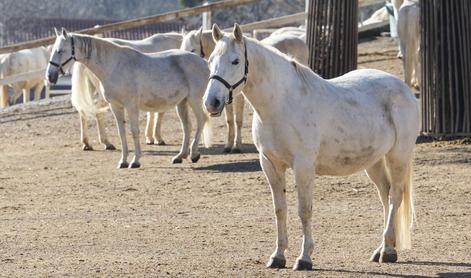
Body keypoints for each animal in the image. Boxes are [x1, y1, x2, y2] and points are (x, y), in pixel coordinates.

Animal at [47, 28, 210, 167]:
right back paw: (180, 156)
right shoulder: (116, 106)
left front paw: (135, 161)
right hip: (182, 103)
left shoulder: (131, 106)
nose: (50, 76)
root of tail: (203, 62)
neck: (114, 66)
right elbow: (122, 133)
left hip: (194, 100)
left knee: (201, 120)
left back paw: (194, 154)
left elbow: (134, 131)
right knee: (187, 126)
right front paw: (123, 161)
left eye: (60, 51)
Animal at [183, 26, 312, 152]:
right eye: (210, 61)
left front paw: (237, 146)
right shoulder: (225, 98)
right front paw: (228, 145)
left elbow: (238, 120)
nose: (210, 103)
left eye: (236, 61)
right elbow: (229, 120)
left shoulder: (238, 97)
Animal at [204, 23, 420, 270]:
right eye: (210, 60)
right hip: (373, 162)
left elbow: (304, 210)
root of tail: (404, 89)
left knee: (395, 197)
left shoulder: (303, 166)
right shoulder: (270, 164)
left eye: (235, 61)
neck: (281, 103)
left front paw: (304, 258)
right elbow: (280, 210)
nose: (211, 103)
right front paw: (278, 256)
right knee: (385, 195)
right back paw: (382, 249)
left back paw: (388, 252)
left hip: (398, 156)